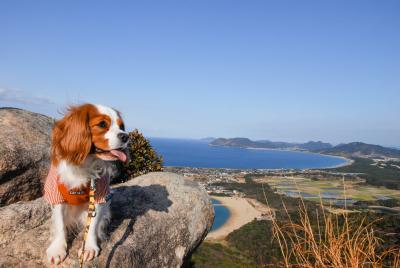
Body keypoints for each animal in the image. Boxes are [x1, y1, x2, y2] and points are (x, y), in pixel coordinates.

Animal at [44, 103, 129, 264]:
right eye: (102, 124)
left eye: (122, 126)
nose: (126, 136)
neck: (85, 164)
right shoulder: (56, 194)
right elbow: (59, 223)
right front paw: (58, 248)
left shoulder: (99, 196)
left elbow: (93, 225)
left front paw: (89, 247)